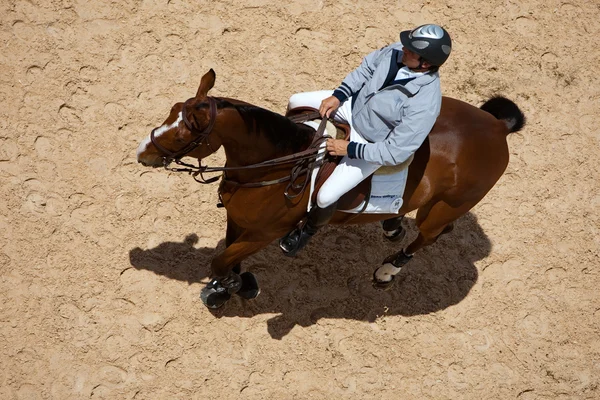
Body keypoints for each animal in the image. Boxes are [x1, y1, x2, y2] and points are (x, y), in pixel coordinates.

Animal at [136, 69, 524, 310]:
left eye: (184, 133)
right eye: (171, 111)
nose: (142, 152)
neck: (275, 163)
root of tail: (496, 128)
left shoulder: (264, 232)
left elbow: (220, 260)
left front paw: (233, 287)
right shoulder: (238, 220)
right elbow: (226, 258)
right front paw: (231, 284)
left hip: (445, 207)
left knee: (429, 236)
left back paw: (388, 270)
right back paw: (392, 223)